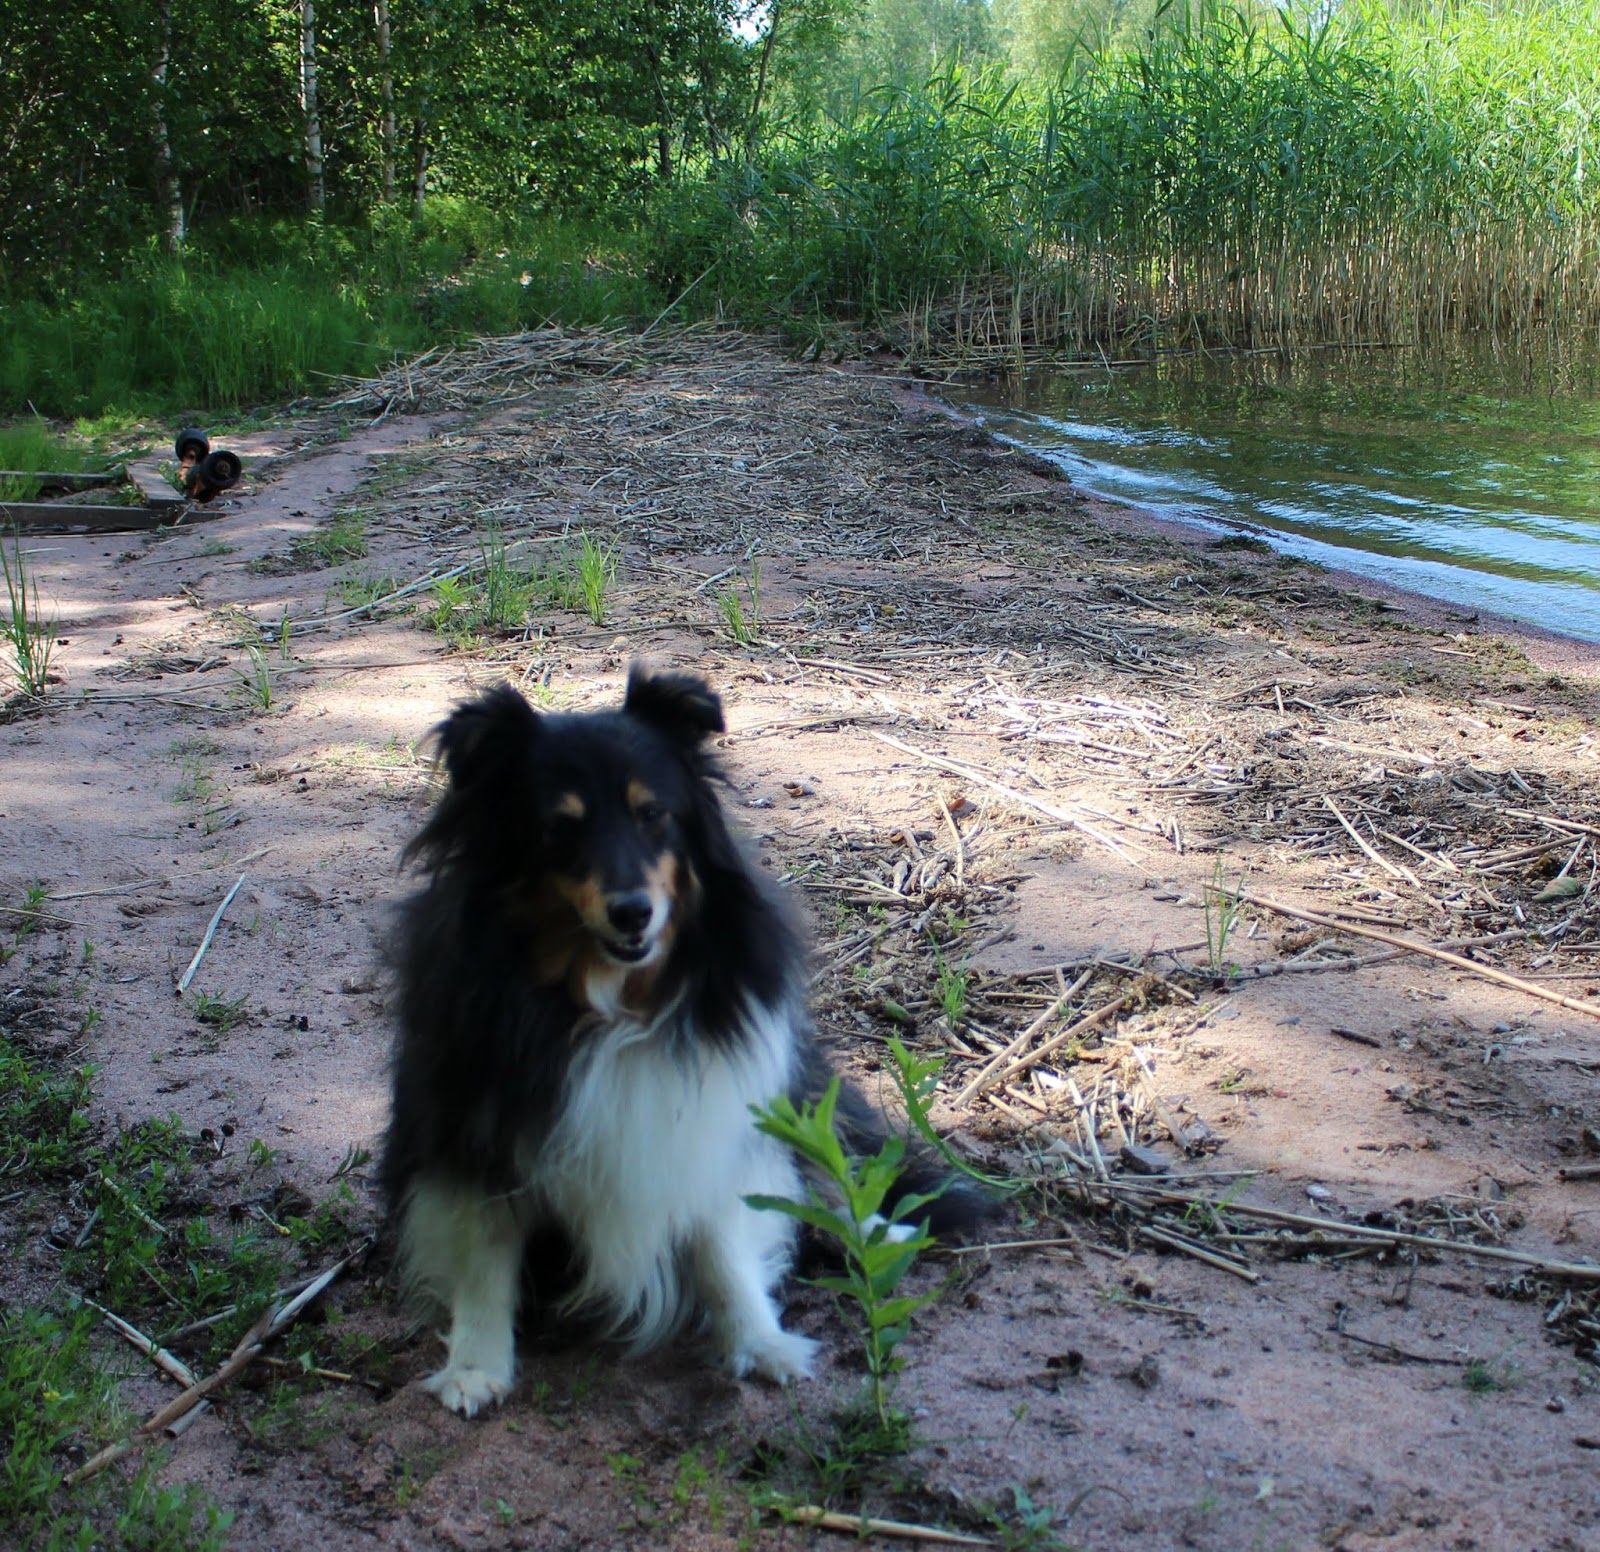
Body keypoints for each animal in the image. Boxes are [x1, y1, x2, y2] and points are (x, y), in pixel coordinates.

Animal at [381, 665, 979, 1417]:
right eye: (559, 827)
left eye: (653, 813)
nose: (633, 913)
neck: (609, 1002)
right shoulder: (473, 1129)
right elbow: (484, 1256)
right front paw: (474, 1366)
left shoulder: (708, 1117)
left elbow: (721, 1240)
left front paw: (760, 1342)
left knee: (824, 1178)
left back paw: (879, 1234)